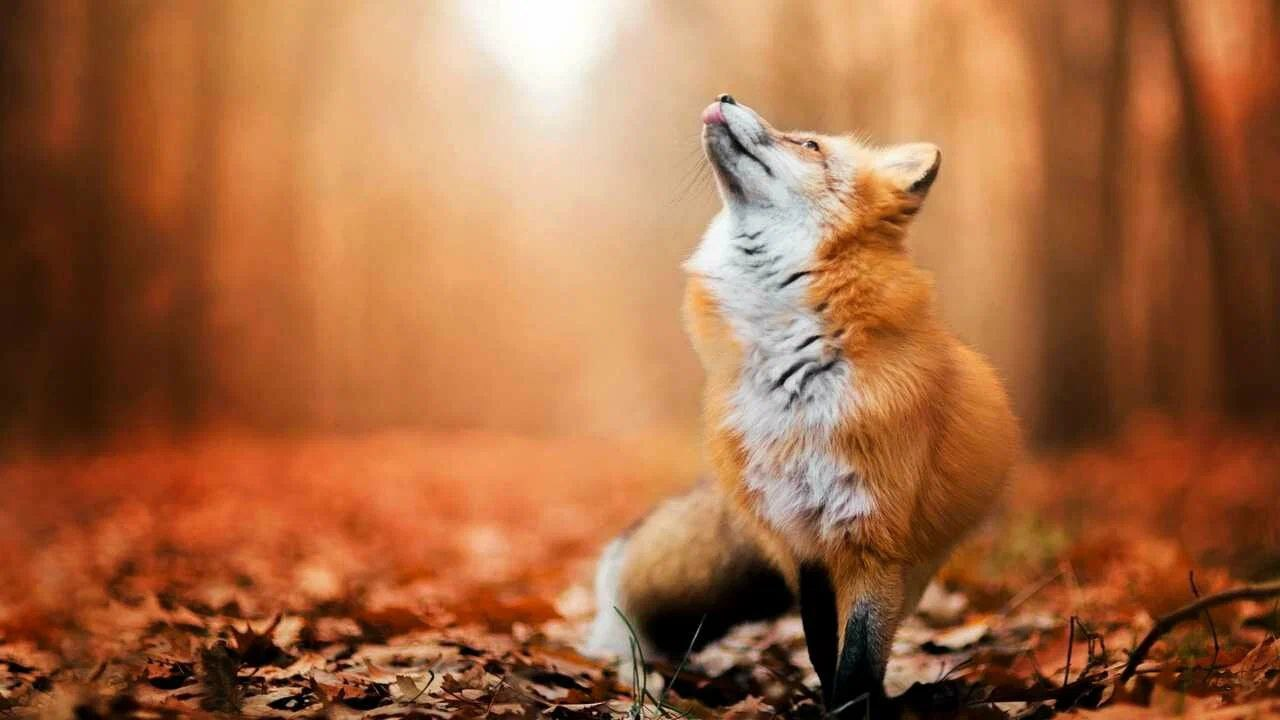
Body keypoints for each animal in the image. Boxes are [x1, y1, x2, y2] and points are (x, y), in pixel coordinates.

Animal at [585, 95, 1020, 716]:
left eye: (809, 145)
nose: (725, 97)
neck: (793, 379)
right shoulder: (799, 538)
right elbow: (821, 648)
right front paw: (829, 704)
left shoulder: (872, 539)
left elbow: (857, 662)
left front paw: (853, 709)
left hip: (915, 564)